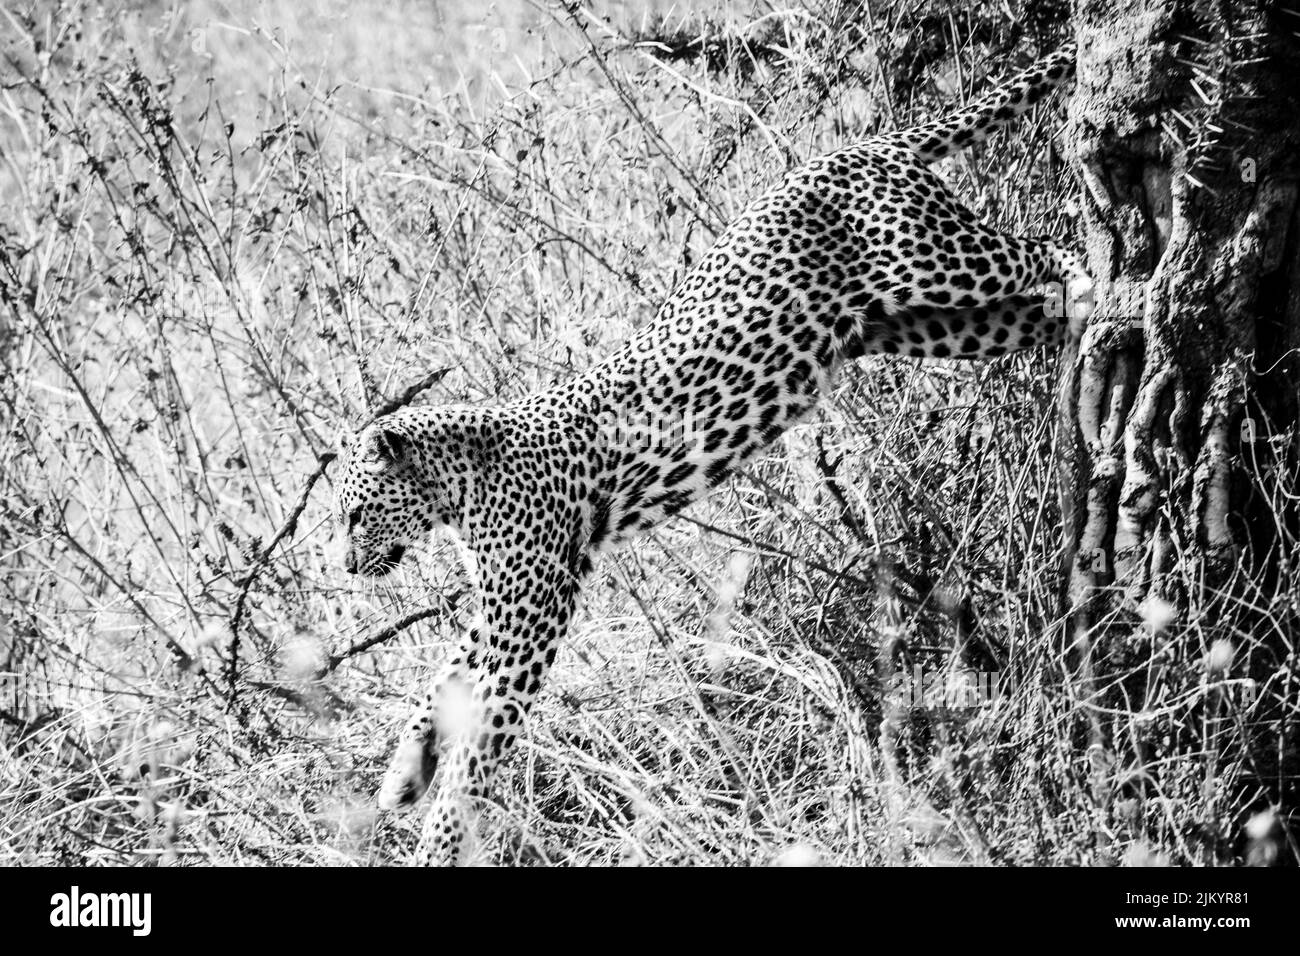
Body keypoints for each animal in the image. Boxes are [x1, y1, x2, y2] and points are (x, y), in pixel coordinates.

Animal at [332, 42, 1086, 868]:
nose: (346, 563)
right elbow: (438, 684)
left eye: (355, 513)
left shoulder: (529, 615)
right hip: (929, 324)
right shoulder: (502, 605)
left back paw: (1114, 287)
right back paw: (1090, 324)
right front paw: (402, 774)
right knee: (1036, 307)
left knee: (1049, 248)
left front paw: (436, 838)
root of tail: (867, 147)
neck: (461, 483)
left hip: (935, 262)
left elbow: (476, 743)